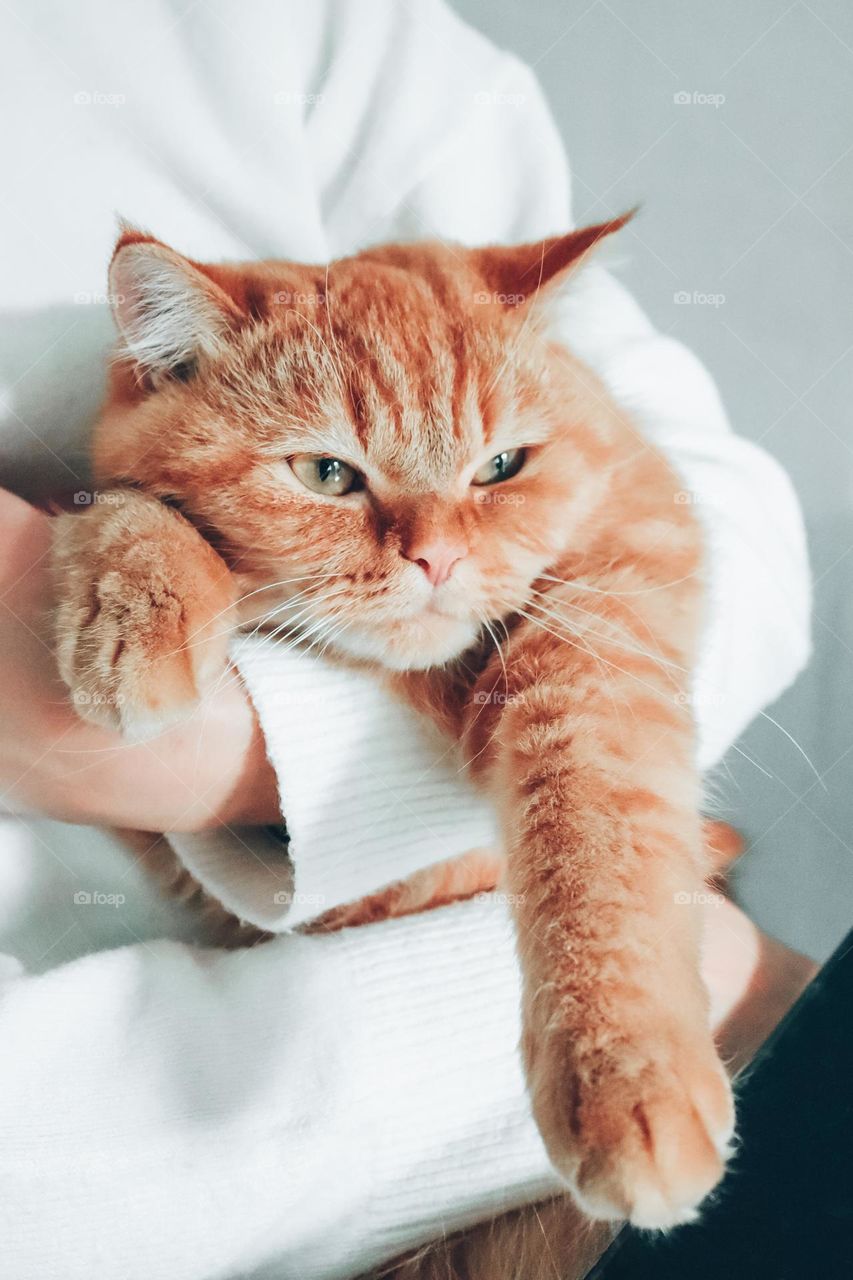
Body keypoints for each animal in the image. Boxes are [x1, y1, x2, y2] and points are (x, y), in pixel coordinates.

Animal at [51, 217, 732, 1228]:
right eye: (326, 473)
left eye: (501, 468)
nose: (438, 558)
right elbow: (127, 505)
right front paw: (140, 597)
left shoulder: (623, 579)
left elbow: (595, 828)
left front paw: (623, 1066)